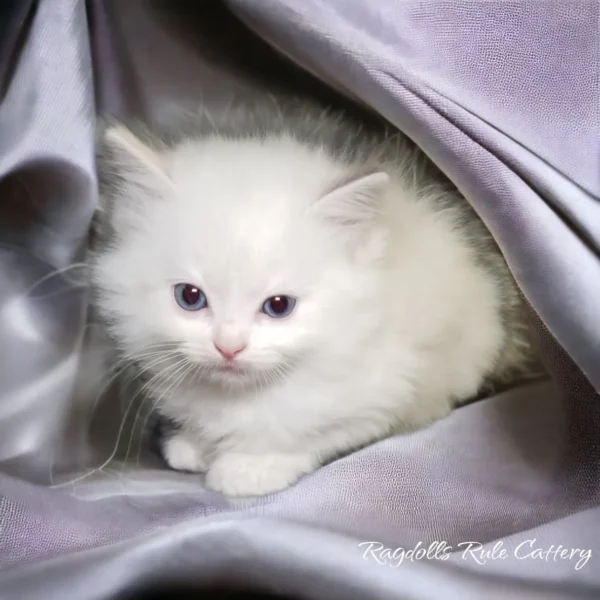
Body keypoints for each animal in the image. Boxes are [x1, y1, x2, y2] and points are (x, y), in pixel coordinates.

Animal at [92, 102, 540, 496]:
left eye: (278, 306)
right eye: (189, 297)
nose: (228, 347)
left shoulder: (391, 387)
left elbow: (310, 432)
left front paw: (249, 468)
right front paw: (193, 444)